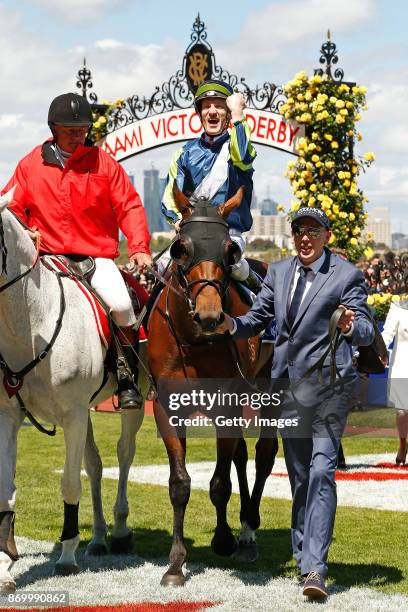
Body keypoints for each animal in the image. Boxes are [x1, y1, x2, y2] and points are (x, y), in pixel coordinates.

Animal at [0, 191, 148, 592]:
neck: (30, 320)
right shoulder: (9, 416)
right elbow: (5, 489)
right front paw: (4, 566)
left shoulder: (73, 415)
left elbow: (68, 484)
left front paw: (66, 555)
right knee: (94, 465)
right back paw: (97, 536)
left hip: (131, 401)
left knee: (124, 455)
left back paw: (120, 528)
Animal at [148, 188, 278, 588]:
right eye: (180, 248)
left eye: (229, 250)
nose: (209, 316)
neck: (195, 342)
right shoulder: (167, 408)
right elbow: (179, 483)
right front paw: (175, 564)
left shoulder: (226, 405)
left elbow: (220, 482)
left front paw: (224, 539)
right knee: (241, 455)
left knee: (264, 453)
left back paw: (248, 531)